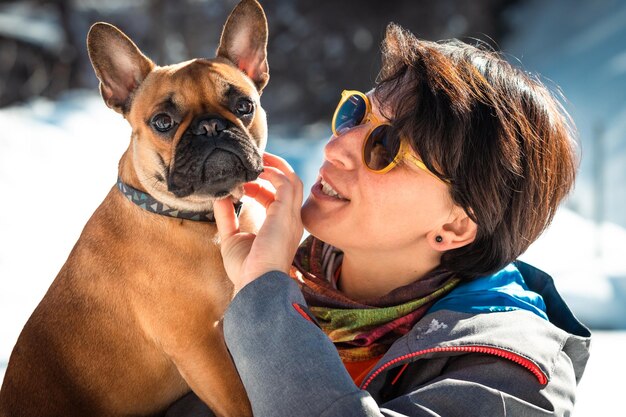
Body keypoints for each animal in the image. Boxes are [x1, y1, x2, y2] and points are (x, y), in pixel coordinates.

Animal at [0, 1, 266, 414]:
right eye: (163, 122)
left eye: (244, 105)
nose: (210, 127)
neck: (198, 219)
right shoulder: (200, 348)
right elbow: (241, 402)